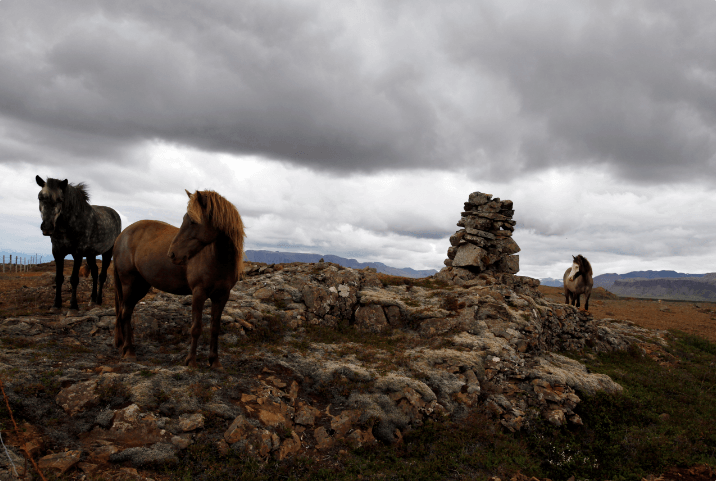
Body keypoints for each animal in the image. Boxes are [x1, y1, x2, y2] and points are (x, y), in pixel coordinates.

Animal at [113, 188, 245, 368]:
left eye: (194, 222)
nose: (172, 254)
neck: (218, 259)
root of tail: (121, 236)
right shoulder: (198, 293)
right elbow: (196, 328)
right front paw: (191, 361)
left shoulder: (222, 296)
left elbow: (215, 328)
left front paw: (214, 361)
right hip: (129, 283)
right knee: (125, 313)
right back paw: (130, 352)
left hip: (140, 286)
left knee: (126, 312)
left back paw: (126, 347)